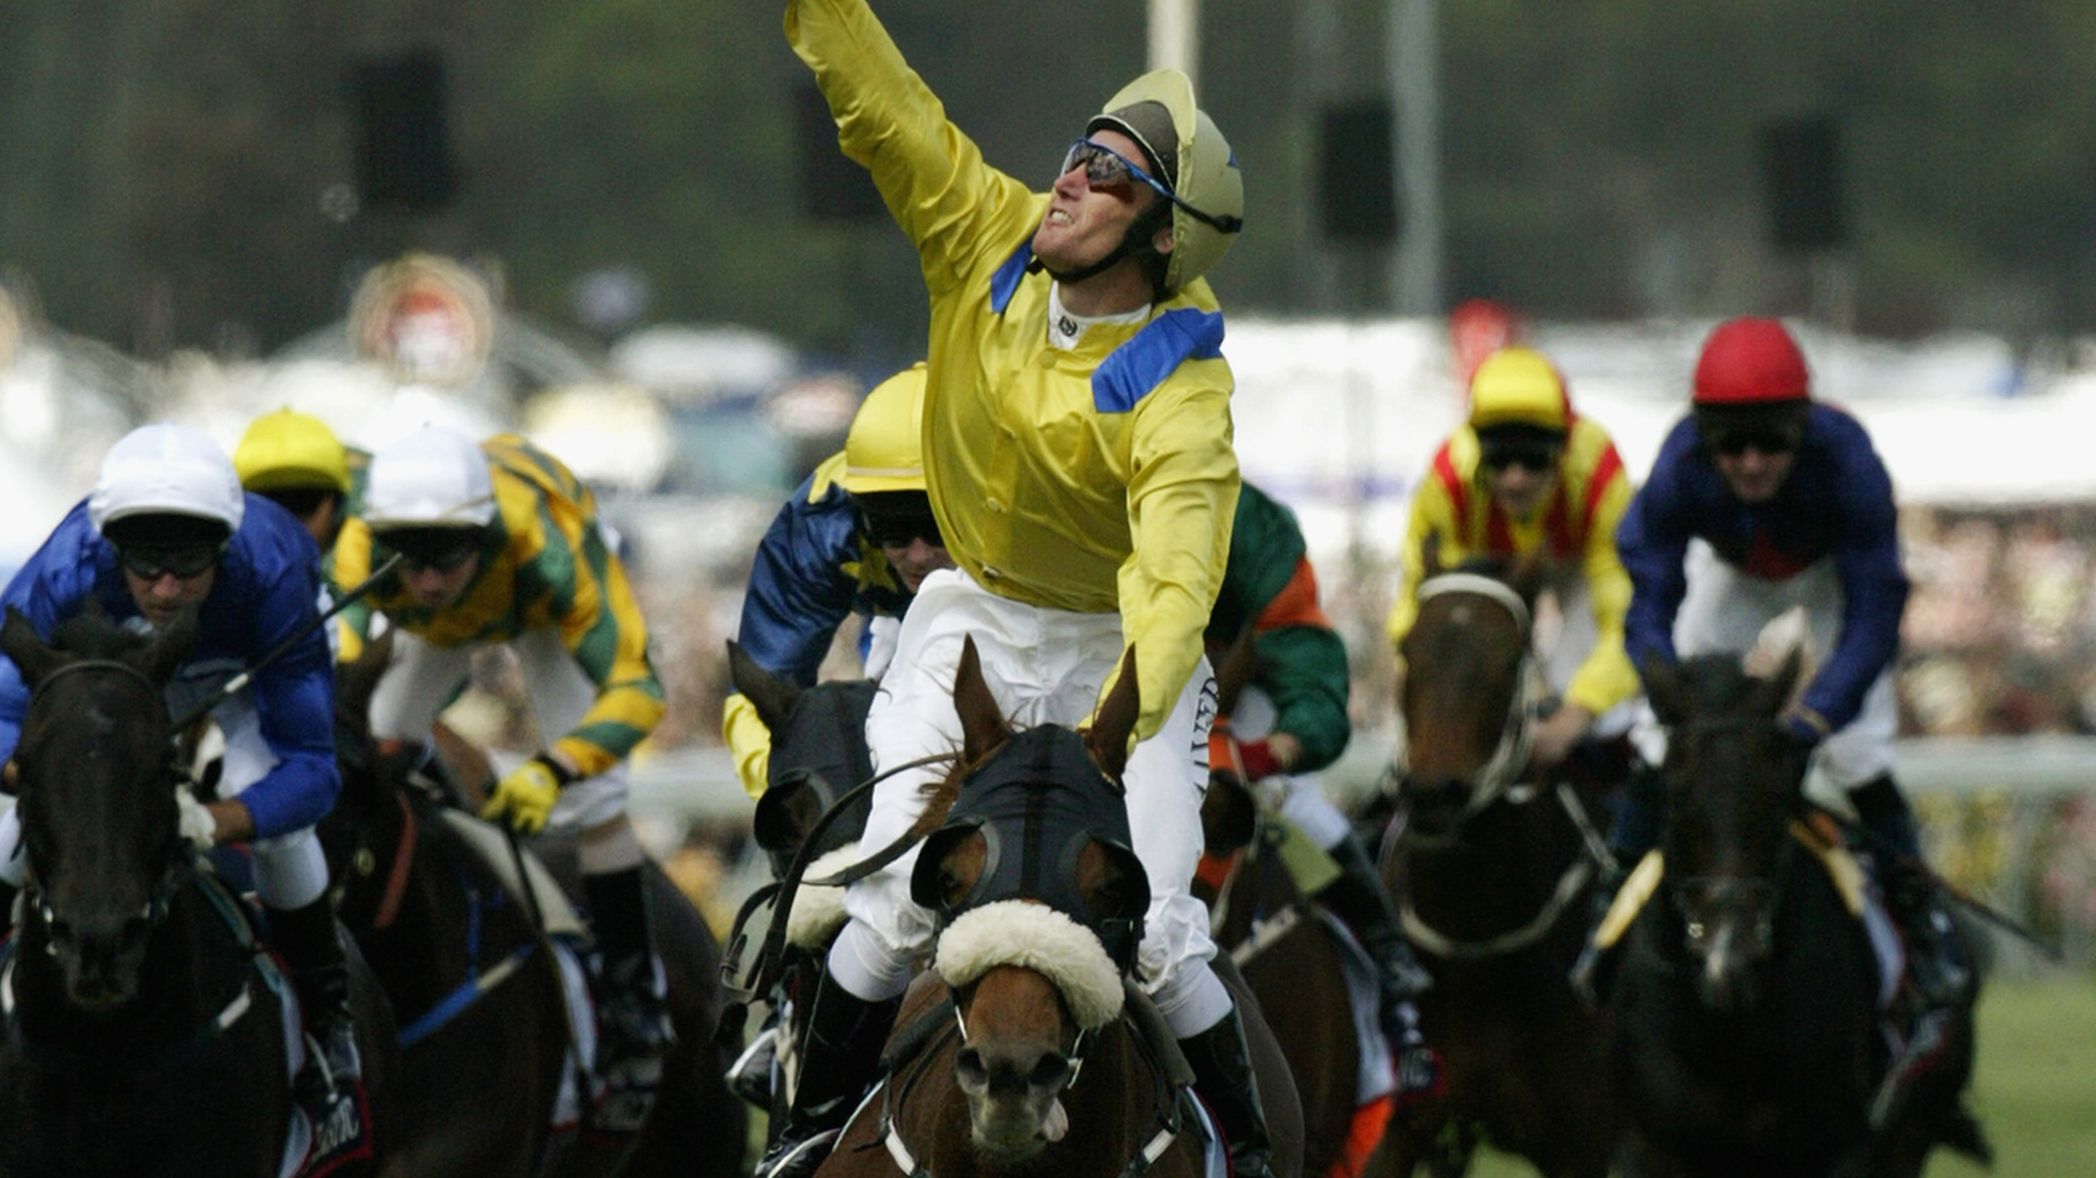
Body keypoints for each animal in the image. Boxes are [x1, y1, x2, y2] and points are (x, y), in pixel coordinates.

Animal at [1609, 649, 1987, 1173]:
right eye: (1676, 796)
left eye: (1777, 795)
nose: (1729, 955)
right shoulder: (1647, 1146)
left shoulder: (1839, 1147)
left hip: (1912, 1127)